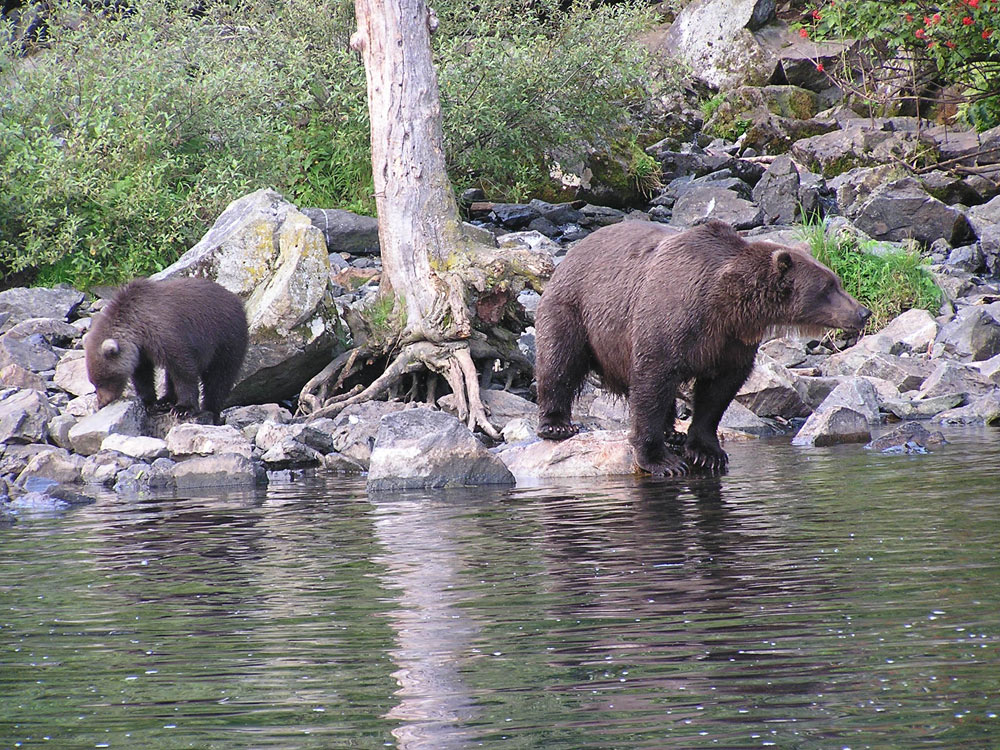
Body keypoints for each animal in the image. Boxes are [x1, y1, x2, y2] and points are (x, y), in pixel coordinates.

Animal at [86, 278, 250, 424]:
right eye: (94, 382)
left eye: (104, 380)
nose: (102, 403)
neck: (138, 327)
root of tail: (237, 300)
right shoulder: (143, 352)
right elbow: (143, 375)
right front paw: (149, 403)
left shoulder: (167, 335)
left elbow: (184, 370)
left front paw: (183, 408)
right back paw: (165, 401)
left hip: (226, 339)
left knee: (220, 377)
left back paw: (211, 410)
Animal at [536, 220, 872, 476]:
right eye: (827, 287)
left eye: (836, 281)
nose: (862, 312)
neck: (725, 305)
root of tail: (575, 249)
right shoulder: (670, 321)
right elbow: (651, 382)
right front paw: (662, 461)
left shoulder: (730, 342)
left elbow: (718, 392)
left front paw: (707, 452)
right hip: (574, 307)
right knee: (559, 361)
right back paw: (556, 425)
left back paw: (671, 430)